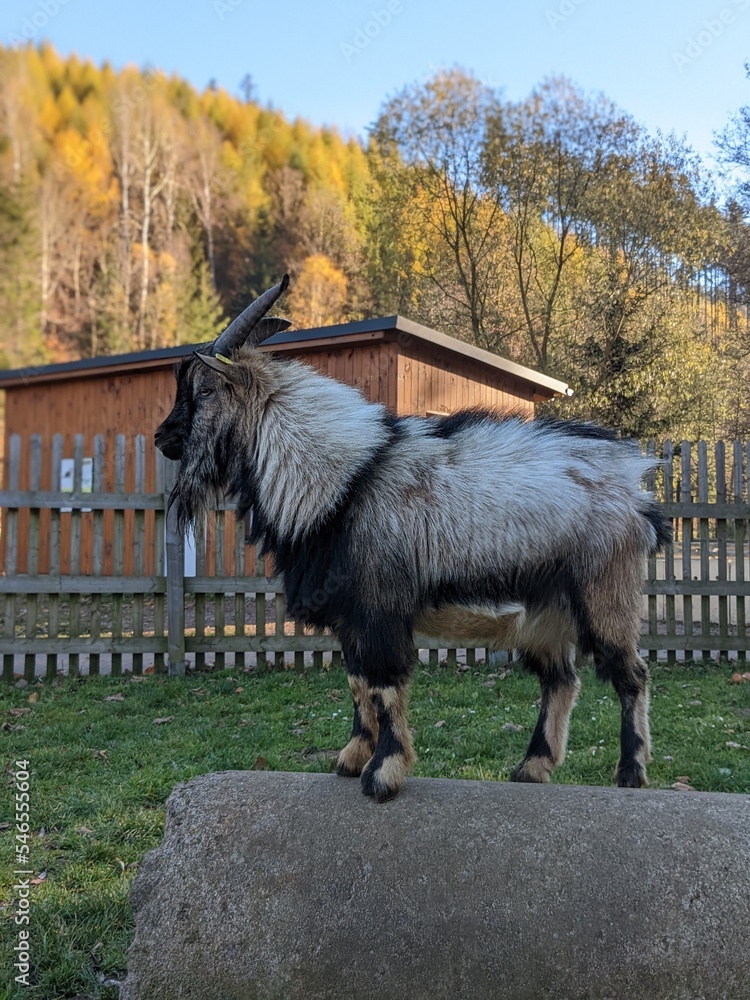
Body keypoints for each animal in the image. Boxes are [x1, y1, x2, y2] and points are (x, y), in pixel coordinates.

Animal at [155, 276, 671, 802]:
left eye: (204, 388)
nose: (161, 436)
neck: (342, 481)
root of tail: (636, 489)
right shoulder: (351, 616)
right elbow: (357, 683)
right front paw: (351, 758)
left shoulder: (379, 608)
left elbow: (383, 686)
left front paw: (383, 773)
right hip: (544, 613)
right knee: (561, 680)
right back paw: (532, 766)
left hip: (605, 594)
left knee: (631, 674)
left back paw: (631, 771)